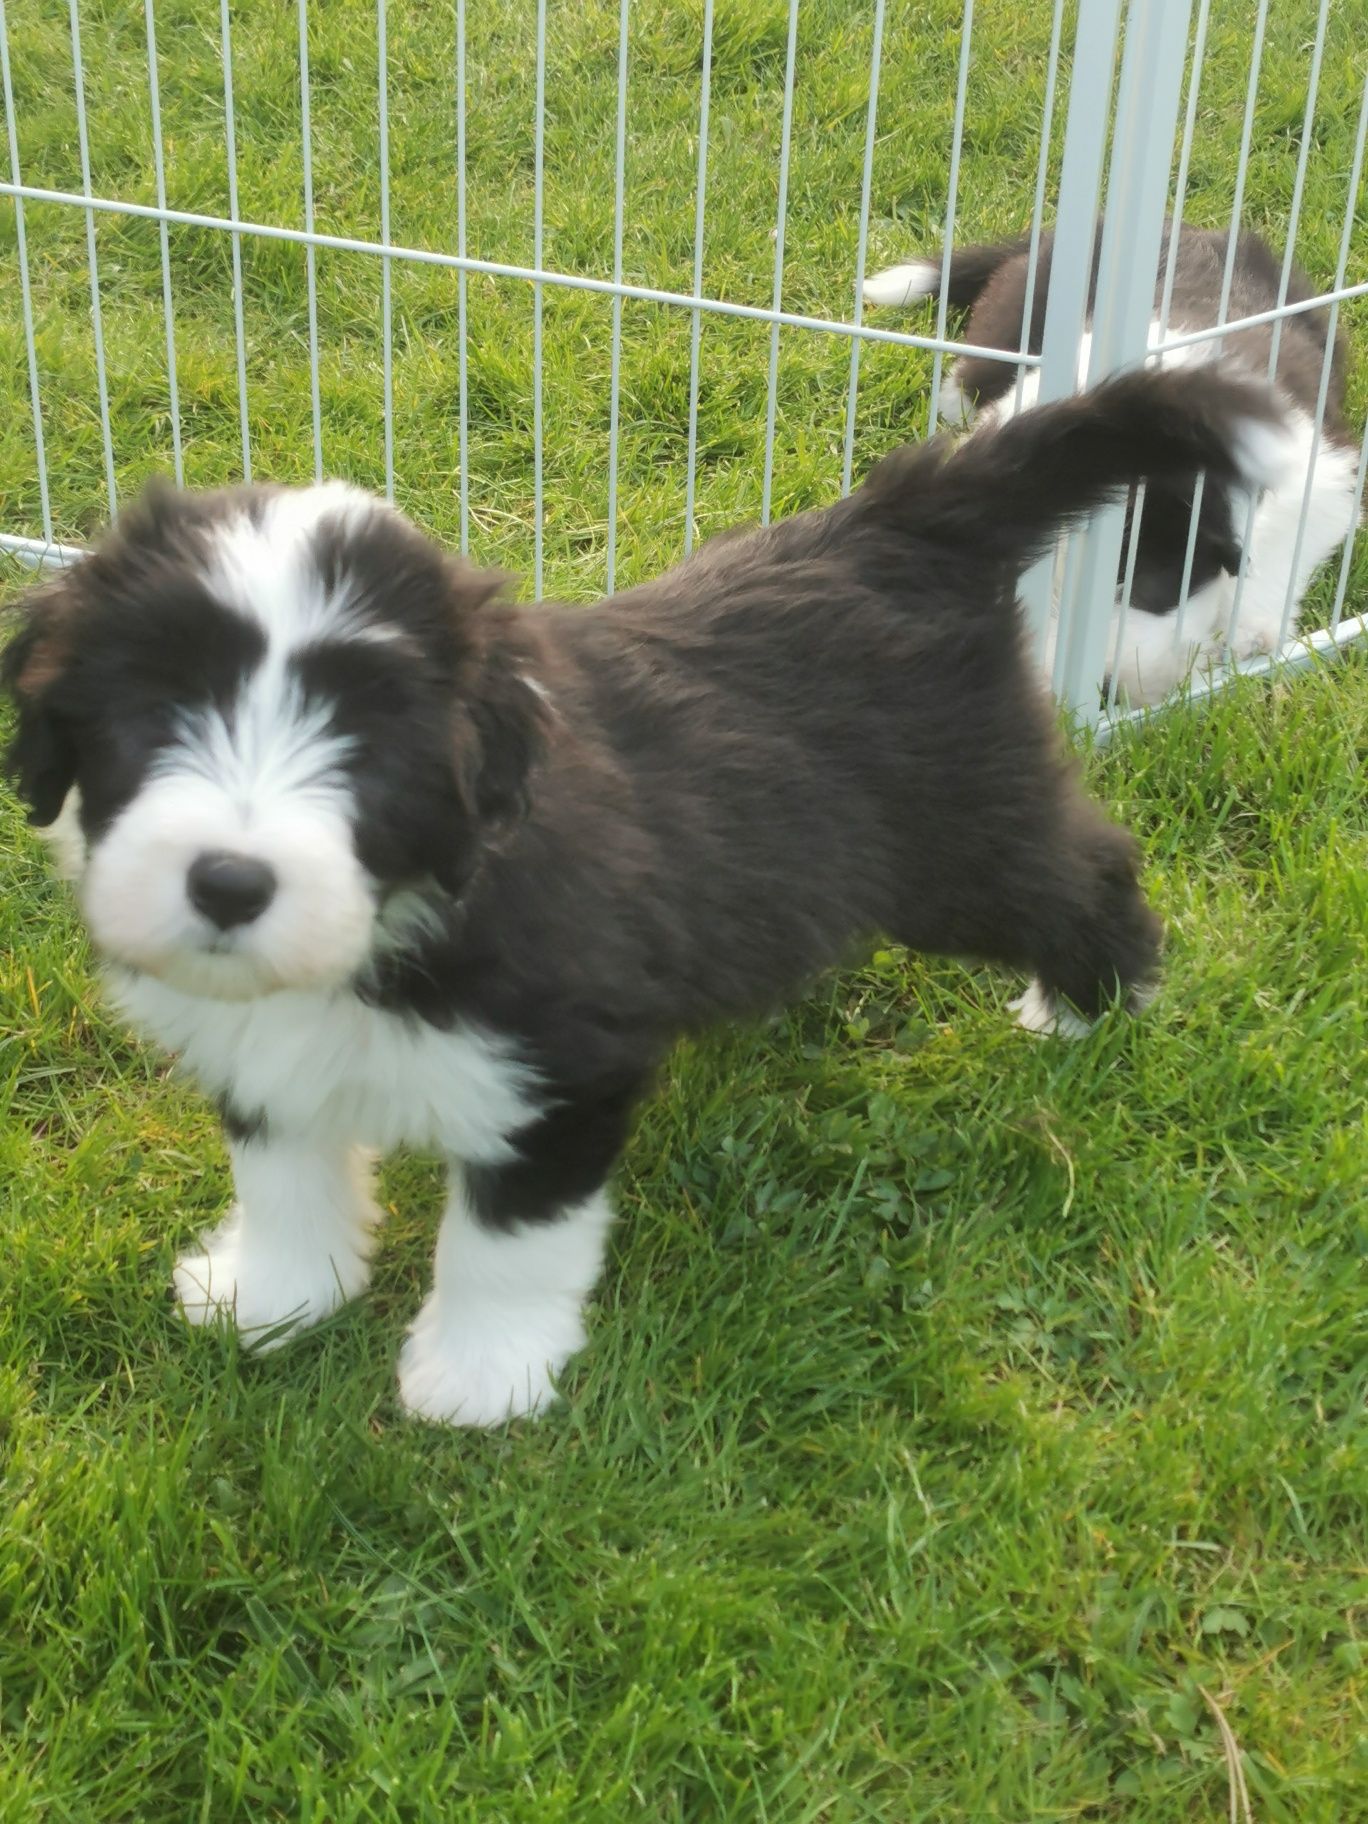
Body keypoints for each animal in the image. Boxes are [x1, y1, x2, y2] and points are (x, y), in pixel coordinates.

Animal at [2, 366, 1284, 1422]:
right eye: (157, 710)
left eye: (364, 746)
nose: (228, 882)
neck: (410, 908)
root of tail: (897, 523)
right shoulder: (260, 1050)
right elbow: (283, 1175)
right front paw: (270, 1298)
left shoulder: (564, 1067)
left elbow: (505, 1239)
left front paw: (477, 1379)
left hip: (964, 839)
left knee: (1087, 868)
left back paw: (1090, 1008)